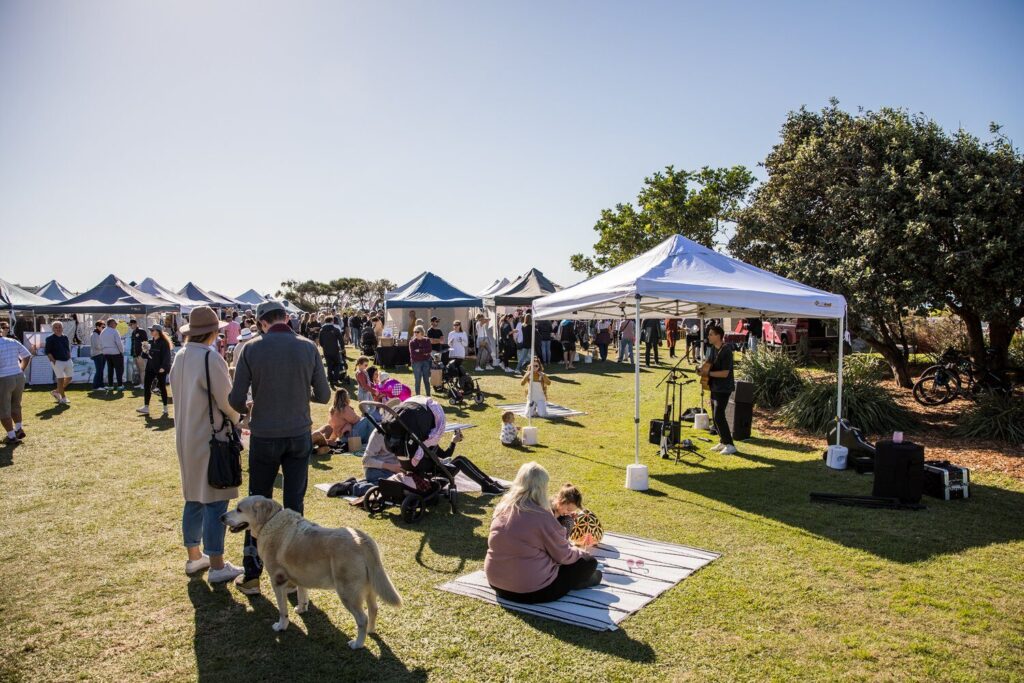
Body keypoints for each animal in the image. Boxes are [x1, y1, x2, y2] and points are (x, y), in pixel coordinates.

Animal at [222, 493, 401, 651]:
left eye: (239, 509)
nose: (221, 517)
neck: (270, 521)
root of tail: (363, 540)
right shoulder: (301, 576)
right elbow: (302, 595)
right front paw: (301, 609)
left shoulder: (277, 581)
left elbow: (282, 610)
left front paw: (282, 626)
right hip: (370, 588)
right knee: (374, 609)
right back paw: (370, 631)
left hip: (348, 593)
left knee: (362, 619)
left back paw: (358, 644)